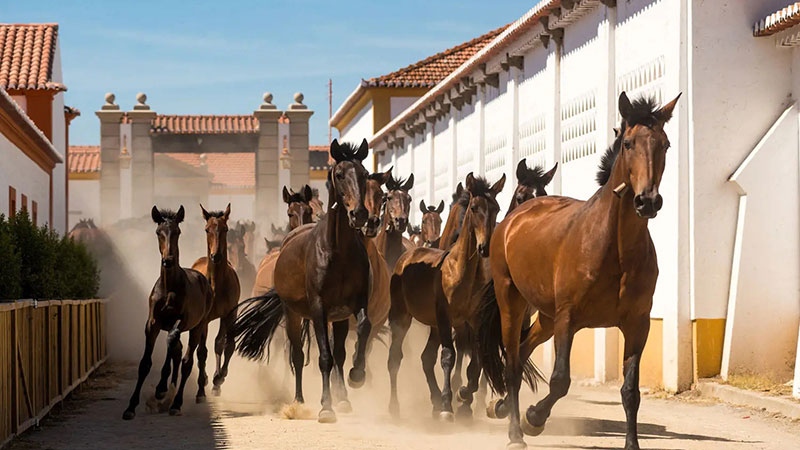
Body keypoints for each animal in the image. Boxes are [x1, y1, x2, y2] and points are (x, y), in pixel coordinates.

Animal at [122, 206, 212, 420]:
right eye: (158, 232)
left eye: (177, 232)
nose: (168, 261)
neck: (169, 287)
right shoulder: (152, 323)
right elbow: (145, 363)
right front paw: (131, 407)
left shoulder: (181, 321)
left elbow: (172, 342)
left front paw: (161, 388)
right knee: (179, 353)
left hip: (199, 325)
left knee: (187, 360)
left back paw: (176, 403)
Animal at [191, 202, 241, 396]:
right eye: (207, 229)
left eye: (225, 229)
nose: (216, 256)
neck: (216, 285)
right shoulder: (204, 319)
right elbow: (202, 350)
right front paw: (202, 385)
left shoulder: (229, 314)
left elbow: (225, 344)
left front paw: (218, 379)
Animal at [234, 139, 376, 424]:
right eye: (340, 174)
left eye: (365, 174)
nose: (359, 214)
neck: (338, 251)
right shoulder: (319, 308)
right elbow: (323, 357)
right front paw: (326, 407)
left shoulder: (355, 304)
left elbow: (362, 330)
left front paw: (357, 376)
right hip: (293, 314)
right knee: (298, 355)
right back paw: (298, 400)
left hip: (337, 318)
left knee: (338, 354)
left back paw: (343, 396)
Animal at [384, 171, 504, 420]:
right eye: (474, 208)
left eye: (496, 208)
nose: (485, 247)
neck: (460, 271)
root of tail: (405, 256)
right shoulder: (446, 317)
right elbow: (449, 356)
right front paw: (449, 404)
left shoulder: (472, 321)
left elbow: (475, 361)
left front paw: (463, 395)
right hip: (402, 317)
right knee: (395, 358)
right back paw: (396, 407)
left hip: (434, 326)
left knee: (426, 359)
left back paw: (436, 400)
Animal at [478, 92, 680, 450]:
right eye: (628, 143)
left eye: (665, 144)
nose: (647, 201)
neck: (615, 247)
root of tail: (510, 222)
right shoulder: (568, 317)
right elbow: (560, 380)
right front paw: (533, 418)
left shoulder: (638, 323)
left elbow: (630, 391)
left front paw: (632, 444)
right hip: (513, 303)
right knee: (513, 362)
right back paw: (515, 431)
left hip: (546, 316)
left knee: (524, 348)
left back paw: (501, 407)